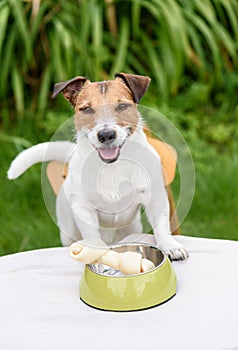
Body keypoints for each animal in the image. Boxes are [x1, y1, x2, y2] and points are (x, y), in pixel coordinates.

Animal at [7, 73, 189, 260]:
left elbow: (162, 226)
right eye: (86, 109)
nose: (106, 135)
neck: (112, 167)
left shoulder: (155, 197)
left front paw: (170, 246)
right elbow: (92, 235)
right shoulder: (83, 208)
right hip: (68, 229)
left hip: (131, 227)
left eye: (122, 106)